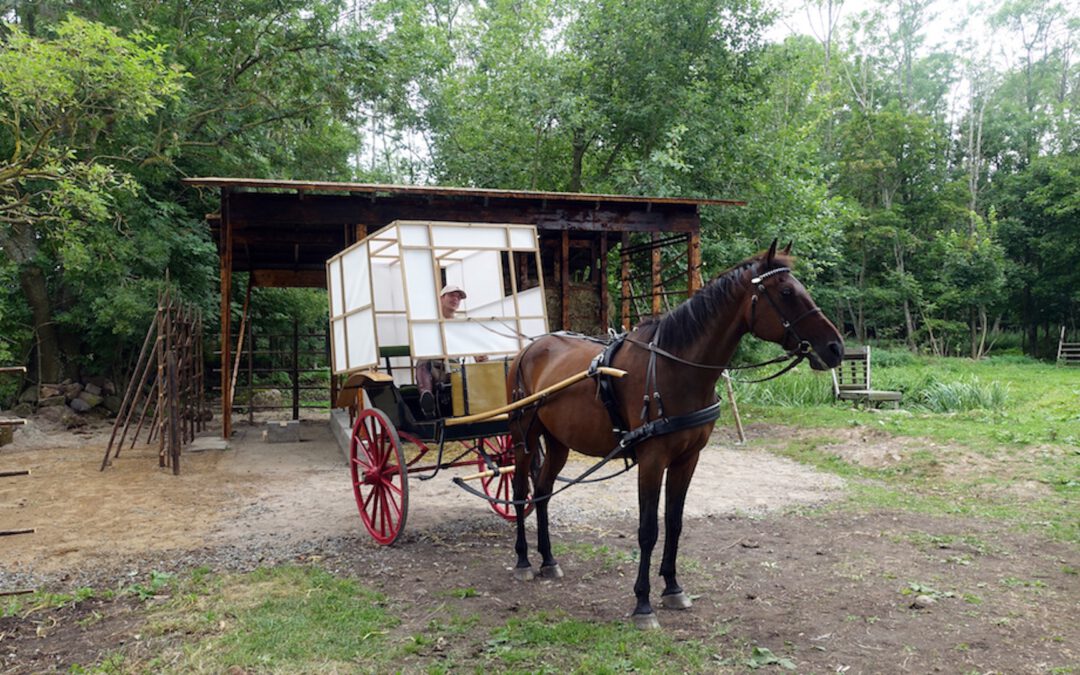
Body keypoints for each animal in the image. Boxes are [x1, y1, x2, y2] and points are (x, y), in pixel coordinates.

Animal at [505, 240, 844, 629]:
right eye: (787, 292)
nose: (835, 347)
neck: (676, 368)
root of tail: (530, 348)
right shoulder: (652, 461)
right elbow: (648, 529)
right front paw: (643, 604)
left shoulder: (687, 459)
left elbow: (675, 522)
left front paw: (673, 588)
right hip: (523, 438)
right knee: (520, 492)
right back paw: (523, 561)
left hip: (559, 442)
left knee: (543, 492)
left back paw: (548, 560)